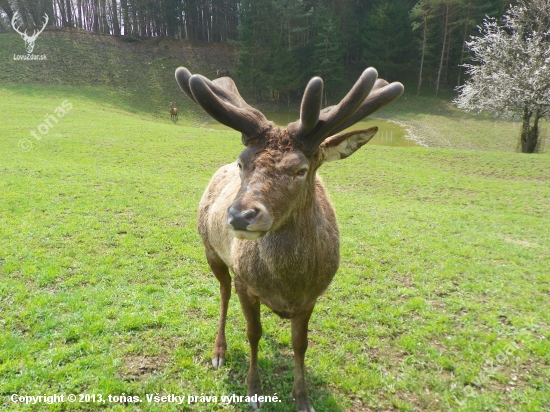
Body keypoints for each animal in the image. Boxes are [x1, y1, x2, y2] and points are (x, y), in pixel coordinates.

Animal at [177, 66, 406, 410]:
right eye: (243, 162)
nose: (240, 215)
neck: (288, 283)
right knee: (223, 291)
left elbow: (301, 343)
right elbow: (253, 333)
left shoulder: (312, 296)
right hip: (210, 249)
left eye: (300, 169)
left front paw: (302, 397)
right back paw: (219, 351)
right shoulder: (246, 282)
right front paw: (253, 390)